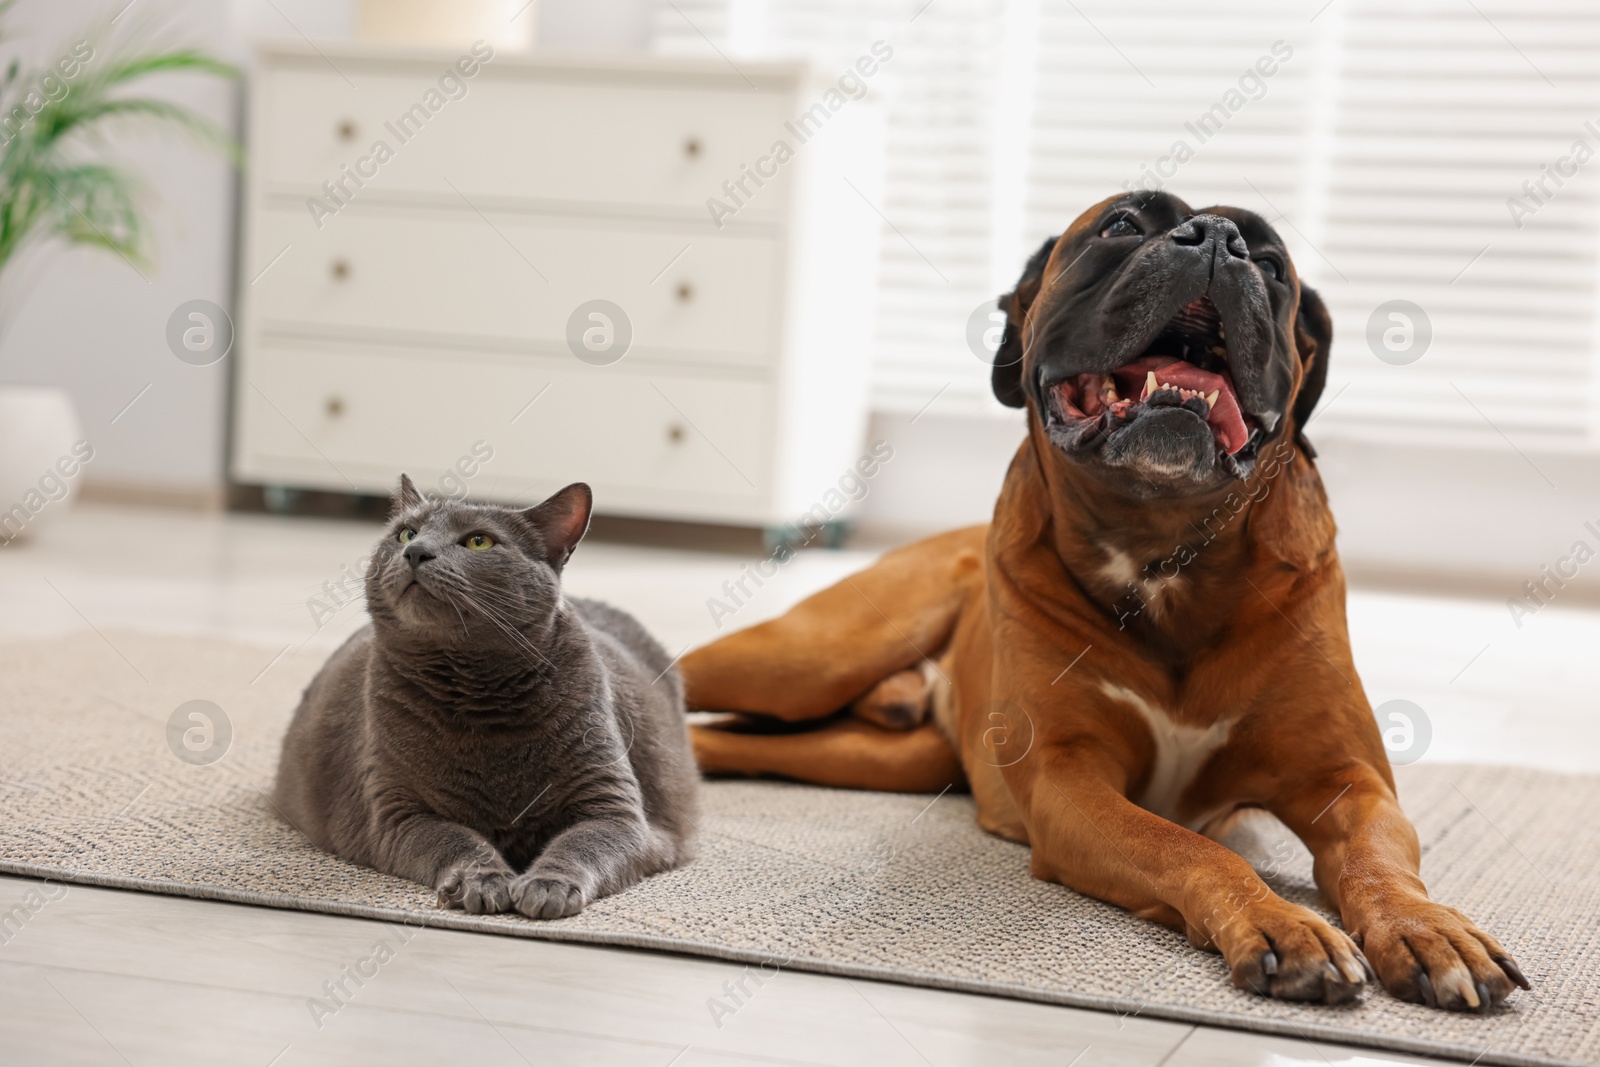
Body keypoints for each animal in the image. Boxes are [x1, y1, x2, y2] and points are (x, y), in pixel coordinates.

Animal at [272, 476, 697, 921]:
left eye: (479, 541)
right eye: (406, 532)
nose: (415, 551)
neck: (478, 694)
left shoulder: (615, 808)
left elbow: (583, 843)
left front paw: (548, 886)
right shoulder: (395, 811)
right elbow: (453, 839)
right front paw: (484, 881)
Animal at [681, 187, 1529, 1017]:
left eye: (1270, 263)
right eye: (1121, 225)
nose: (1214, 238)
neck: (1166, 545)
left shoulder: (1349, 782)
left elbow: (1381, 861)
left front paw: (1428, 928)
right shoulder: (1072, 783)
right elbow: (1187, 844)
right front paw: (1282, 923)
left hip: (885, 753)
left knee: (727, 740)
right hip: (804, 660)